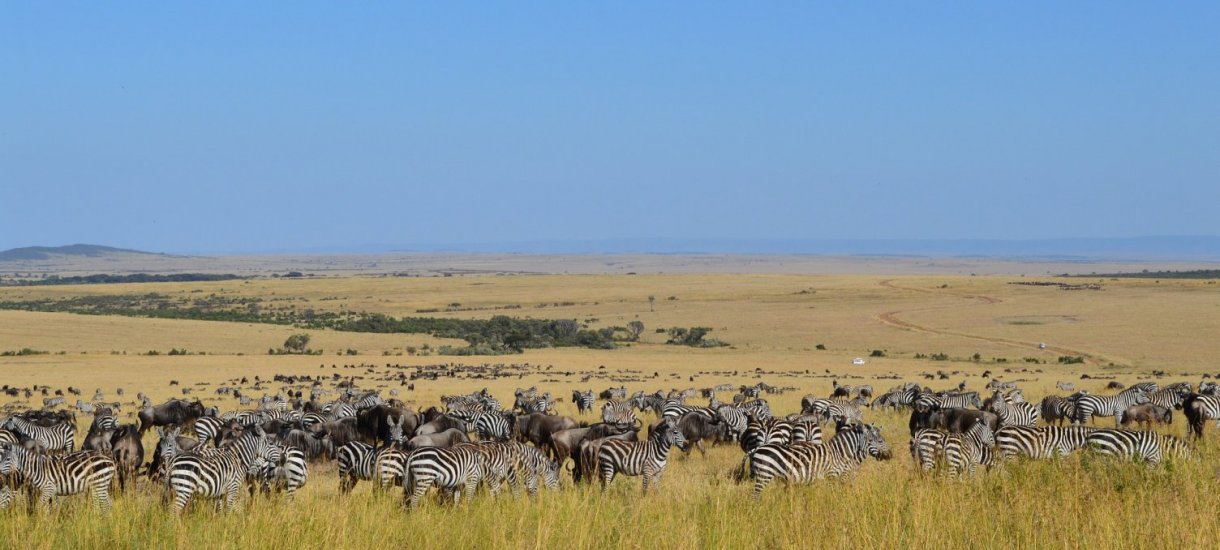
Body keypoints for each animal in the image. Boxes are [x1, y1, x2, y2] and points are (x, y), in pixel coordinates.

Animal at [746, 421, 893, 500]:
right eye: (880, 441)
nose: (890, 456)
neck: (840, 453)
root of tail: (758, 448)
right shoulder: (833, 476)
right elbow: (834, 494)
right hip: (764, 475)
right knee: (754, 496)